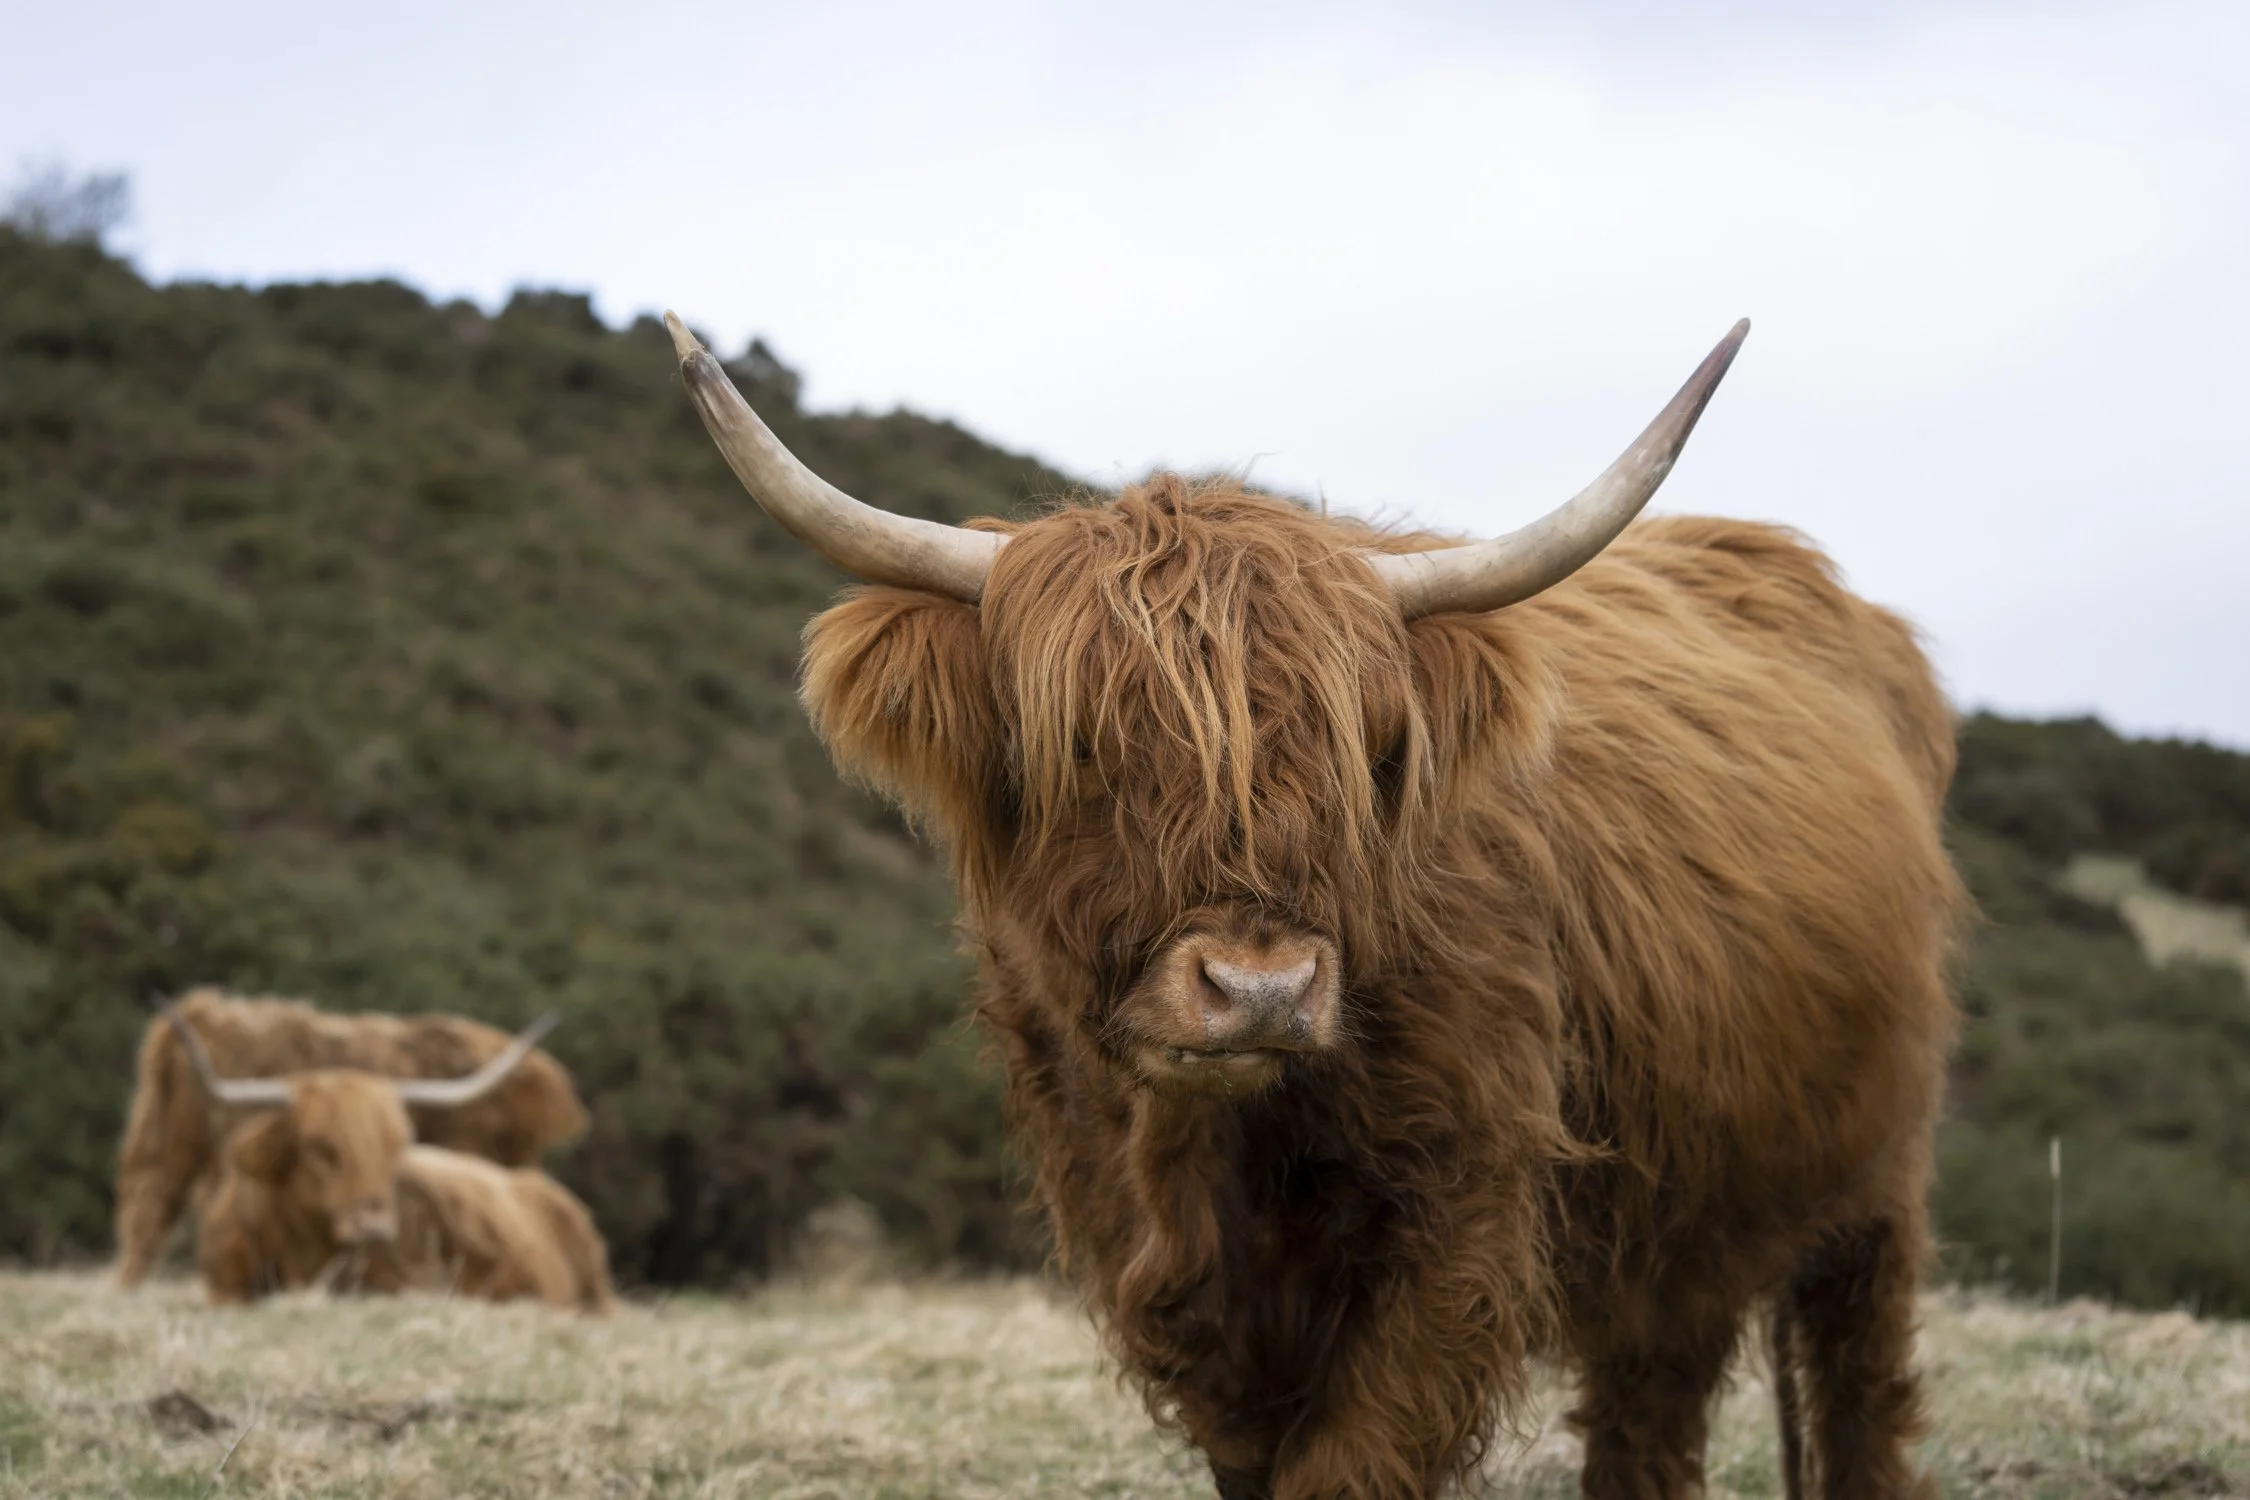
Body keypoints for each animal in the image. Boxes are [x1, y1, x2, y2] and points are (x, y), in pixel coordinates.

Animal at [661, 311, 1960, 1500]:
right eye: (1084, 746)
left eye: (1355, 752)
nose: (1260, 991)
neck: (1203, 1153)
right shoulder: (1154, 1257)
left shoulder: (1463, 1215)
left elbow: (1351, 1464)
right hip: (1681, 1211)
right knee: (1652, 1410)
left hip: (1877, 1171)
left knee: (1863, 1386)